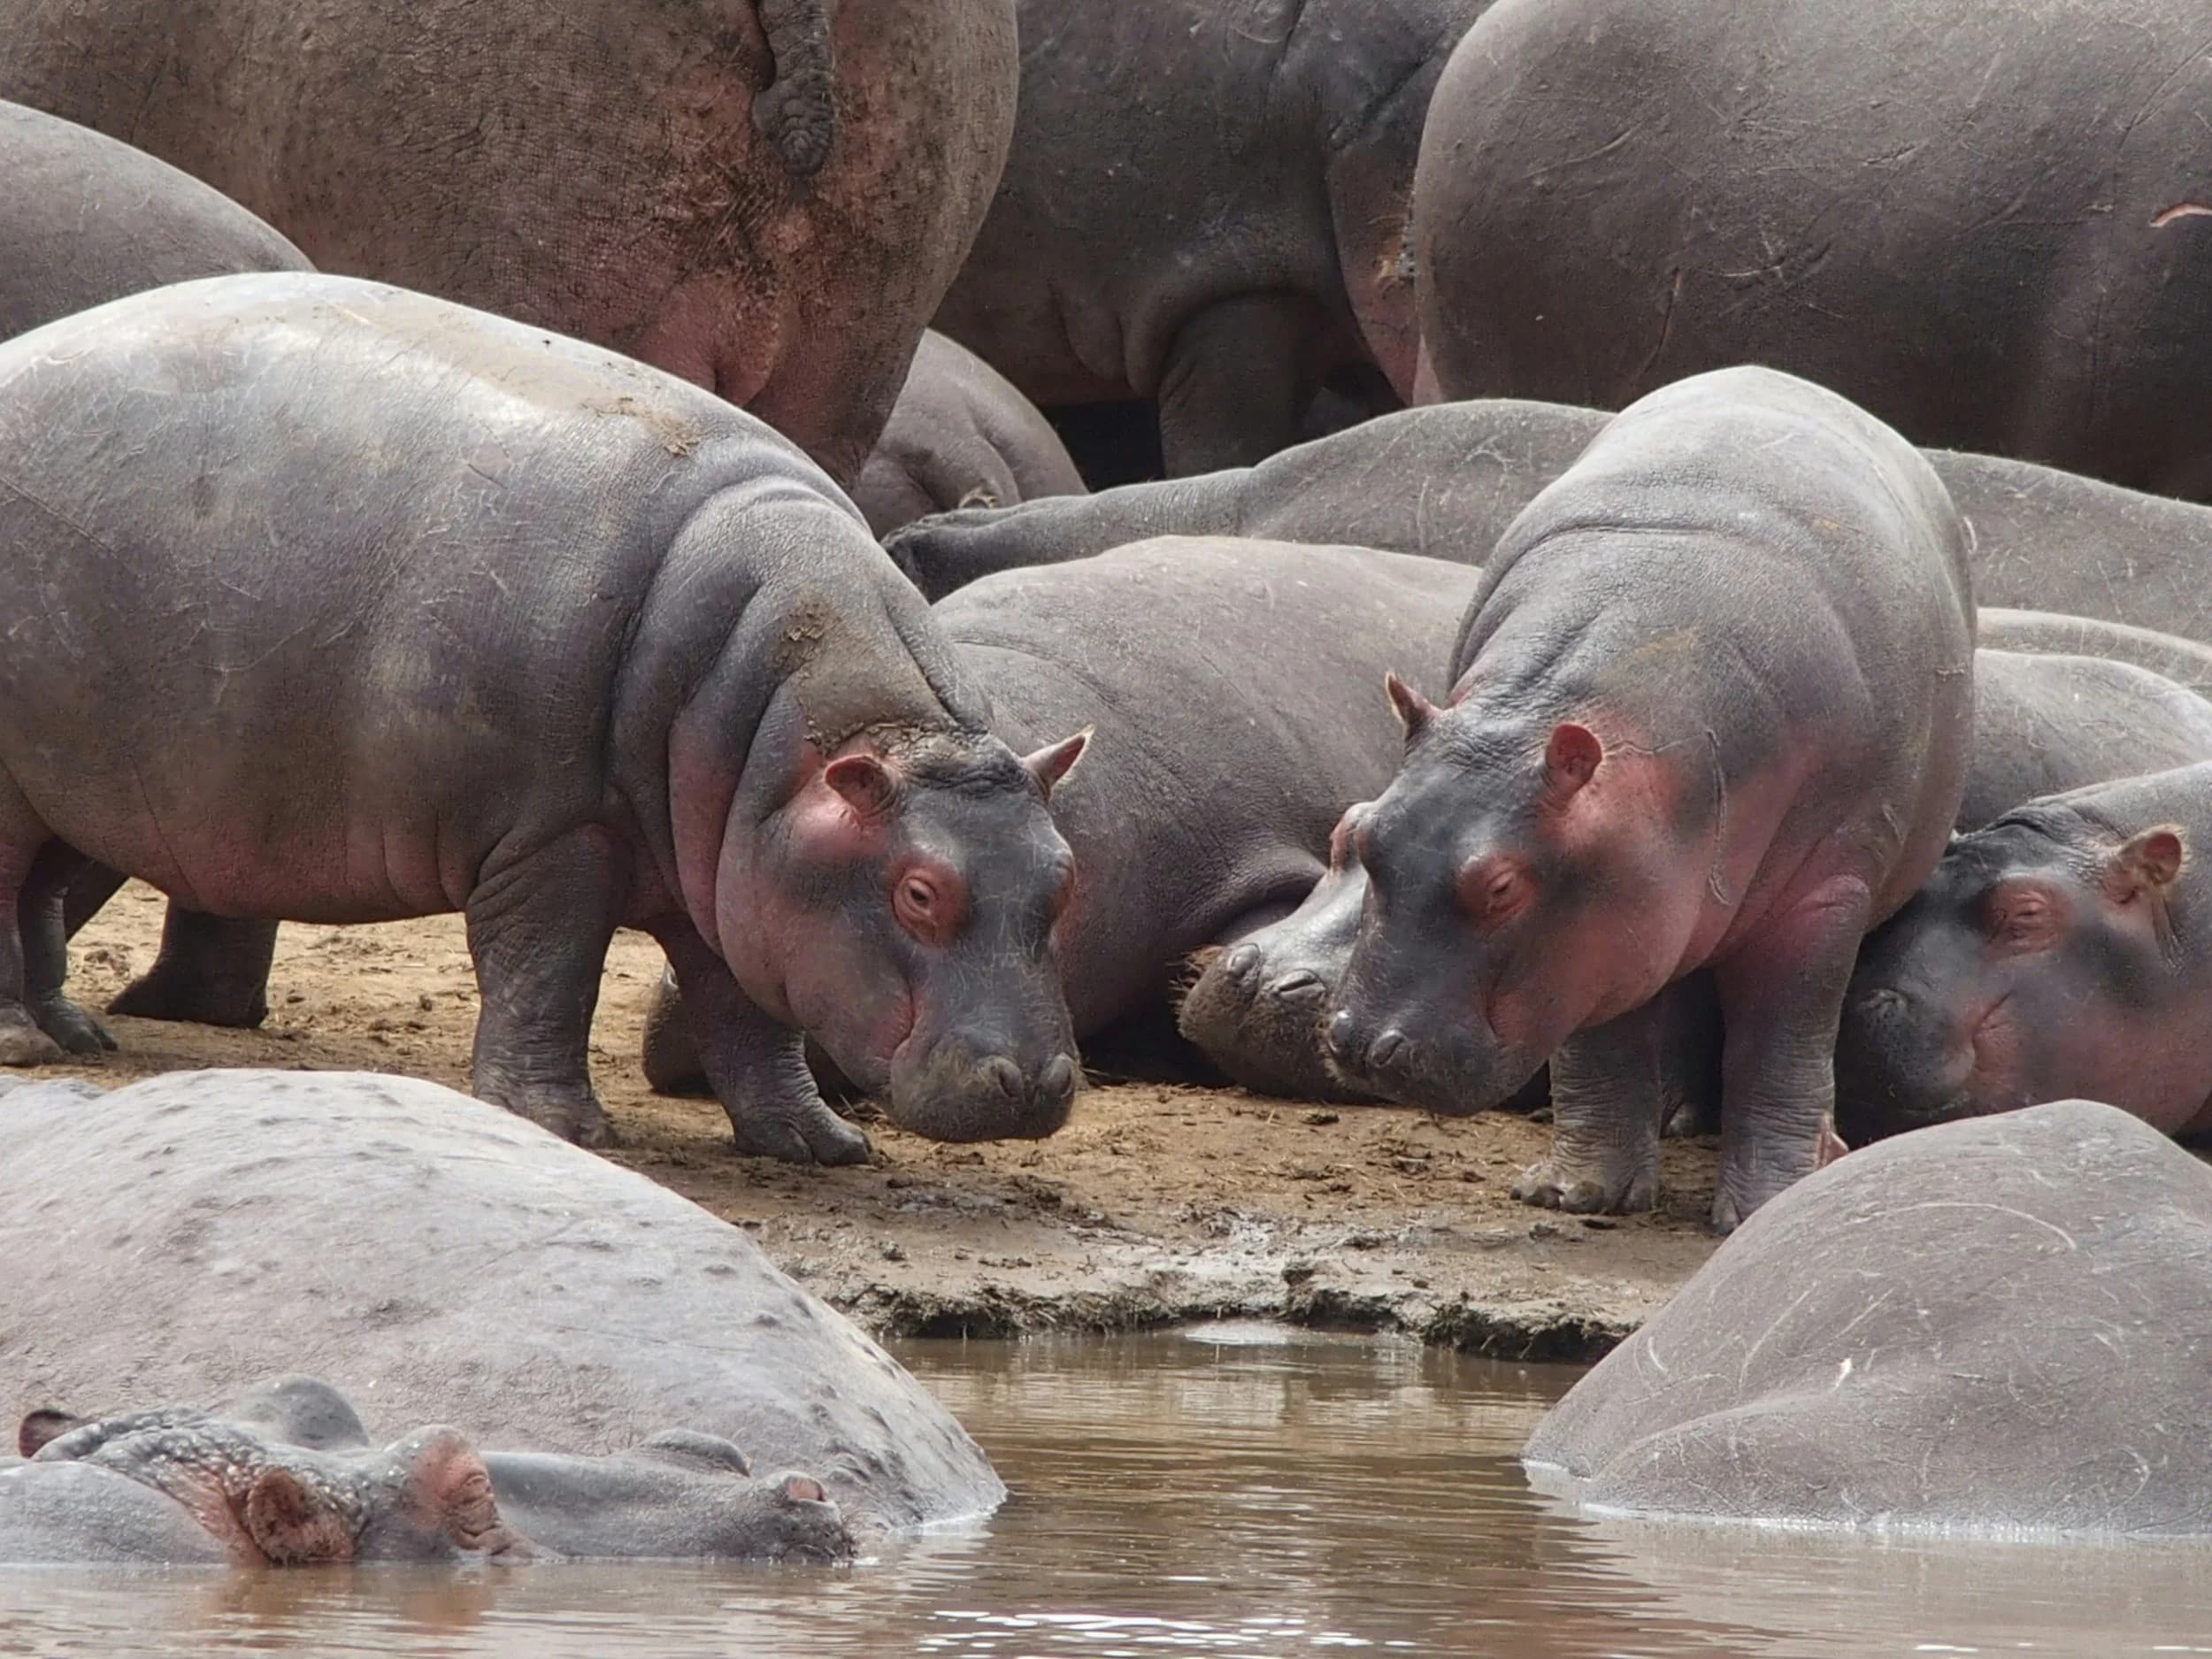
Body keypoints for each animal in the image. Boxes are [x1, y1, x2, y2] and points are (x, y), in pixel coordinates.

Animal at [1324, 368, 1974, 1232]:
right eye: (1360, 835)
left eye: (1501, 887)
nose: (1363, 1043)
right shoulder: (1606, 921)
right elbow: (1601, 1037)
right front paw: (1575, 1193)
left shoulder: (1824, 893)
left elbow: (1783, 1038)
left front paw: (1766, 1202)